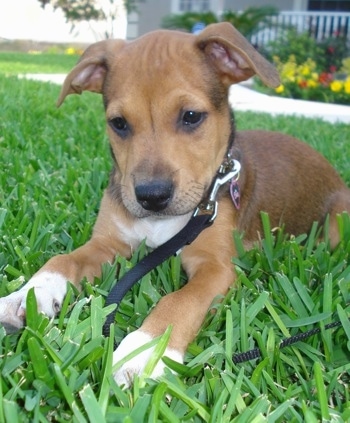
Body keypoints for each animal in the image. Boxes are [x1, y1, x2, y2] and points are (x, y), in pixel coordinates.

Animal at [0, 23, 350, 388]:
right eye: (118, 123)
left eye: (191, 116)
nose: (151, 196)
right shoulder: (108, 243)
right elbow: (63, 260)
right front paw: (28, 294)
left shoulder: (216, 266)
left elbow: (181, 299)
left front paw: (145, 350)